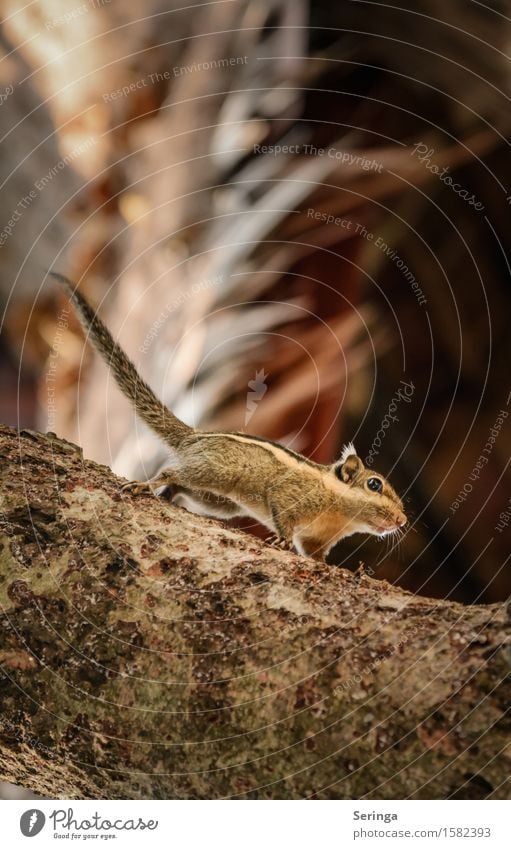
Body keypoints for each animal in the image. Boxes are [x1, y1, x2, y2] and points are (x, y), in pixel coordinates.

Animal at [52, 274, 410, 560]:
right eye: (375, 484)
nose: (403, 521)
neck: (339, 512)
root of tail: (193, 436)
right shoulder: (289, 496)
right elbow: (283, 517)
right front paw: (282, 540)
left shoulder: (318, 540)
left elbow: (314, 555)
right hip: (211, 472)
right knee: (171, 471)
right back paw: (147, 484)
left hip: (218, 499)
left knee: (182, 485)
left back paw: (167, 495)